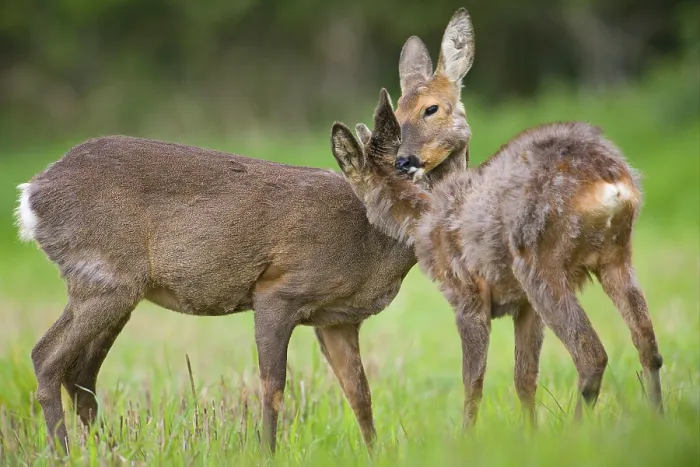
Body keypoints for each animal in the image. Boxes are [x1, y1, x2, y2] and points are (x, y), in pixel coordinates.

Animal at [12, 10, 473, 453]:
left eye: (415, 177)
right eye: (384, 184)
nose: (421, 210)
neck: (369, 249)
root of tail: (32, 193)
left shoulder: (339, 320)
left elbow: (361, 396)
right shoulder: (277, 290)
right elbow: (273, 387)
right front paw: (267, 451)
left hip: (113, 287)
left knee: (81, 372)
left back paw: (105, 448)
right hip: (104, 277)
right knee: (46, 357)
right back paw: (63, 451)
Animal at [331, 84, 664, 426]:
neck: (421, 219)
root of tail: (610, 180)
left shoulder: (466, 294)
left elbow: (473, 382)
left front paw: (467, 434)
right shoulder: (525, 306)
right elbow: (524, 379)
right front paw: (530, 433)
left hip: (540, 262)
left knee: (592, 355)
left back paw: (577, 430)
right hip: (617, 256)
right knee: (648, 346)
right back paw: (657, 420)